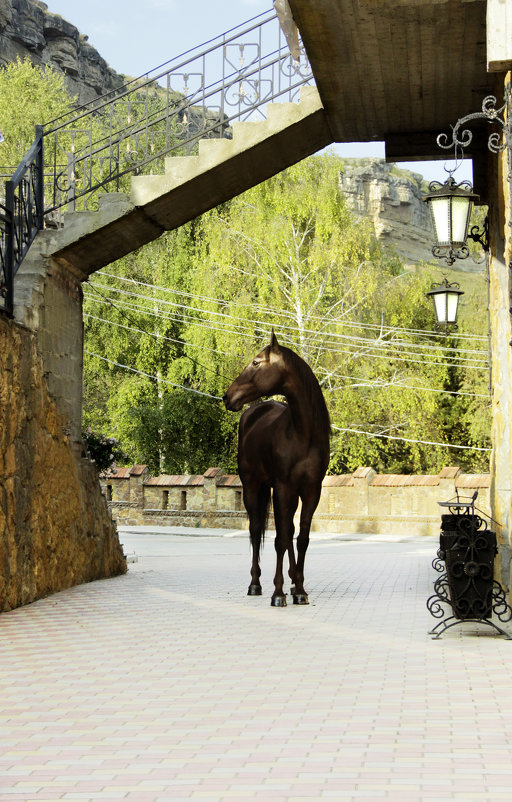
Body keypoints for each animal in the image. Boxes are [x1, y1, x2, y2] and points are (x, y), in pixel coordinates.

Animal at [222, 328, 330, 604]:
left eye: (256, 362)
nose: (227, 396)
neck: (303, 436)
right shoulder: (283, 488)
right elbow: (279, 539)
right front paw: (278, 593)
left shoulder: (311, 491)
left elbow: (301, 538)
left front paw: (299, 589)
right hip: (252, 486)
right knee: (255, 529)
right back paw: (255, 584)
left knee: (288, 530)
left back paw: (293, 580)